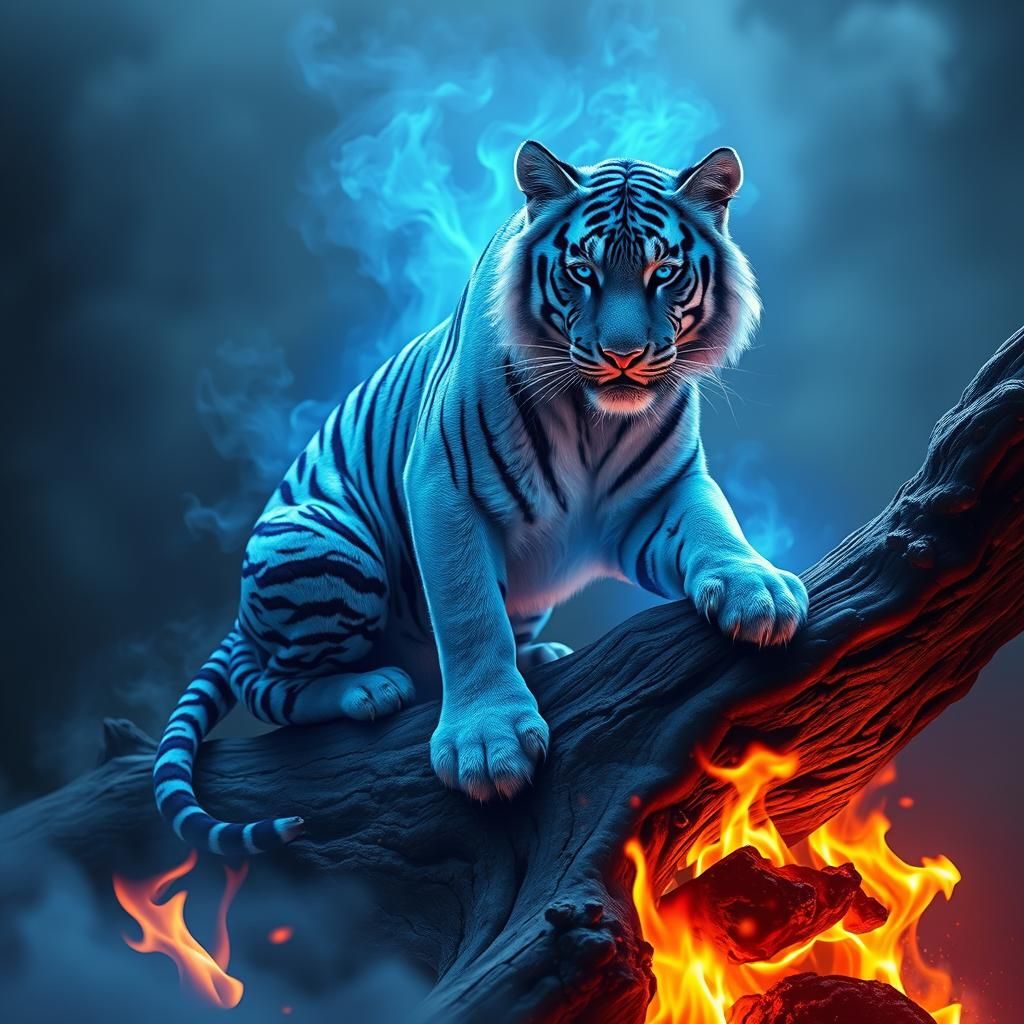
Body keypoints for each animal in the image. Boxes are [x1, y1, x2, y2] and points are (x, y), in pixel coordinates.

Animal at [154, 141, 808, 856]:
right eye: (581, 272)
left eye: (663, 271)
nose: (624, 355)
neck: (596, 421)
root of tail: (241, 621)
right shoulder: (444, 487)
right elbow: (470, 614)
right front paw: (487, 745)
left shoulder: (660, 497)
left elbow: (714, 526)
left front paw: (758, 590)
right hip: (324, 542)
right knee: (269, 685)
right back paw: (369, 688)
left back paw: (542, 657)